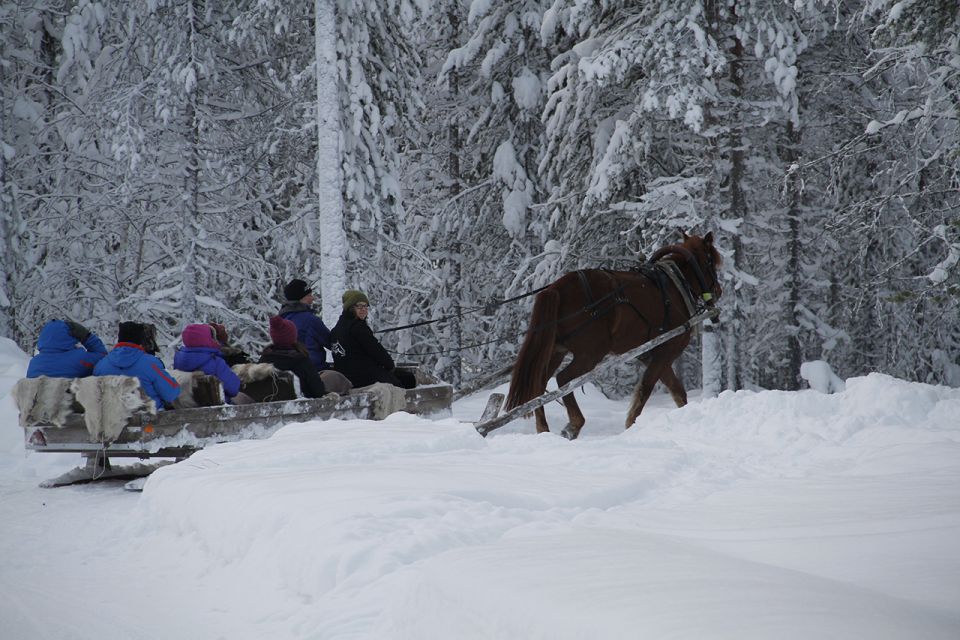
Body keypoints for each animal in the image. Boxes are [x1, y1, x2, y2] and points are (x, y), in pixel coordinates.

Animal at [502, 234, 720, 440]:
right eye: (711, 263)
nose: (718, 290)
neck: (676, 284)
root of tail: (556, 287)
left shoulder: (652, 353)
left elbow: (676, 390)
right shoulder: (668, 348)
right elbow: (646, 387)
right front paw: (631, 424)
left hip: (556, 350)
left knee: (538, 385)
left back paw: (543, 429)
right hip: (592, 351)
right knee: (564, 378)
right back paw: (574, 424)